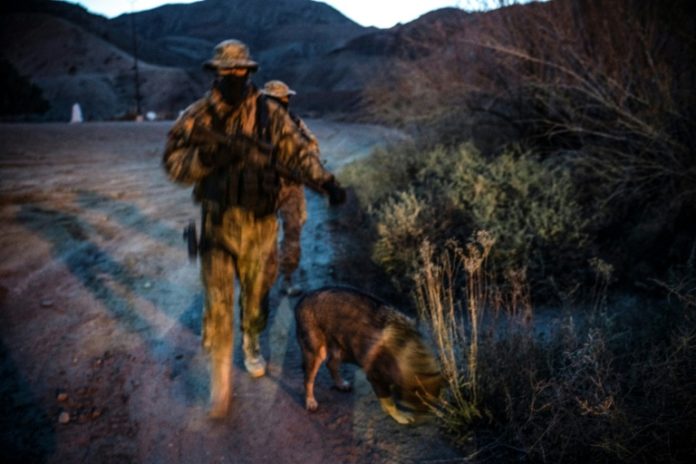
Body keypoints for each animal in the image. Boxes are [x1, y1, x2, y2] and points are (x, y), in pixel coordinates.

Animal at [292, 286, 440, 424]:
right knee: (308, 379)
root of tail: (303, 299)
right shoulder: (375, 377)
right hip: (316, 352)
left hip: (343, 347)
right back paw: (310, 401)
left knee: (331, 364)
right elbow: (389, 402)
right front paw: (399, 416)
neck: (408, 348)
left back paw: (340, 384)